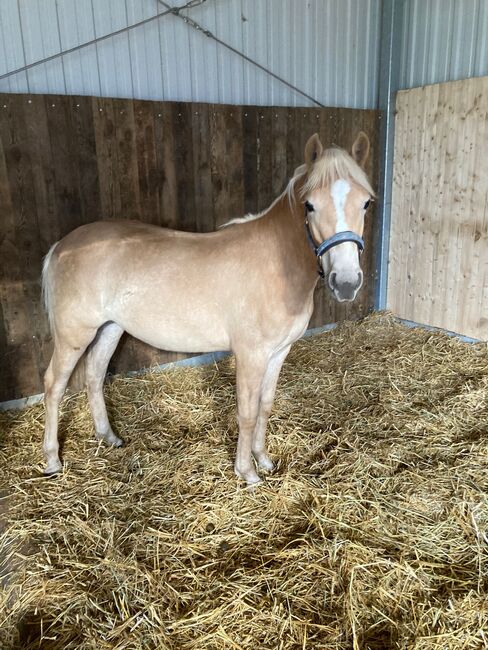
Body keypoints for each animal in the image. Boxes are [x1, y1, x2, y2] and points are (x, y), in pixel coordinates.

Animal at [42, 132, 376, 484]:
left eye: (366, 203)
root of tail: (62, 246)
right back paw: (52, 460)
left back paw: (108, 437)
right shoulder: (251, 355)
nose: (346, 283)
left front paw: (264, 459)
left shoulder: (279, 352)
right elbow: (247, 413)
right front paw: (247, 473)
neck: (275, 263)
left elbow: (266, 406)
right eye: (309, 204)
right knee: (54, 386)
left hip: (110, 328)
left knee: (94, 376)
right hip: (73, 335)